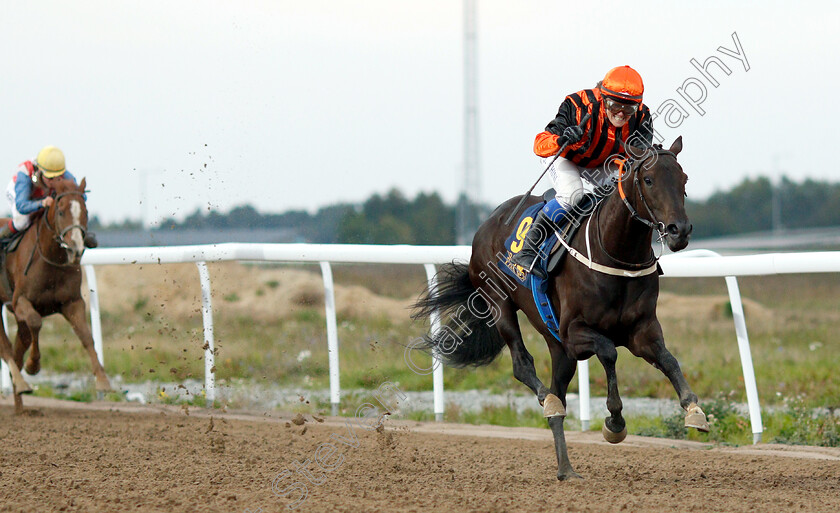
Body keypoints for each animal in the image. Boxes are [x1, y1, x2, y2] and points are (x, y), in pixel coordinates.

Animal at [0, 178, 110, 410]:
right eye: (60, 211)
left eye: (85, 211)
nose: (76, 248)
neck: (50, 260)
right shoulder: (20, 301)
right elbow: (35, 322)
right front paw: (33, 365)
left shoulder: (72, 302)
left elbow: (86, 336)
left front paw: (103, 381)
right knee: (6, 349)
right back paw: (21, 382)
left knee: (17, 349)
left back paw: (20, 403)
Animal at [414, 137, 708, 480]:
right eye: (648, 180)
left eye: (683, 179)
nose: (679, 231)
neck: (617, 256)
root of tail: (488, 222)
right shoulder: (573, 332)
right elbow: (609, 352)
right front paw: (615, 422)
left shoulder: (641, 331)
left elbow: (669, 361)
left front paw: (694, 410)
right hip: (500, 304)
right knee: (524, 366)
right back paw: (548, 401)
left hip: (558, 347)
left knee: (558, 393)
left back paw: (566, 467)